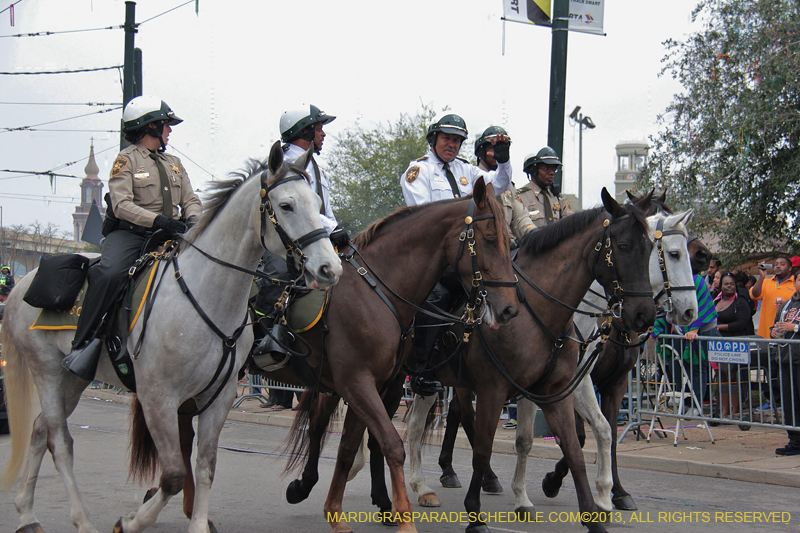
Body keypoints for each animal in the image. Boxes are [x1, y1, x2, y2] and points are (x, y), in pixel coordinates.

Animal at [0, 141, 344, 532]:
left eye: (317, 203)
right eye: (286, 205)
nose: (330, 268)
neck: (206, 295)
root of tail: (21, 285)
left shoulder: (218, 398)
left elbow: (205, 467)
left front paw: (197, 524)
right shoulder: (158, 398)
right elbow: (174, 476)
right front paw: (132, 521)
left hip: (73, 379)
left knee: (40, 431)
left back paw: (27, 513)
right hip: (46, 371)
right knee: (60, 441)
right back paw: (82, 520)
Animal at [404, 209, 696, 516]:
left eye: (652, 249)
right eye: (674, 254)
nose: (690, 311)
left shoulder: (580, 383)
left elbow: (599, 431)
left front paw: (608, 494)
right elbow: (571, 436)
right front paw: (553, 484)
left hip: (437, 380)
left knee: (418, 424)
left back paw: (427, 486)